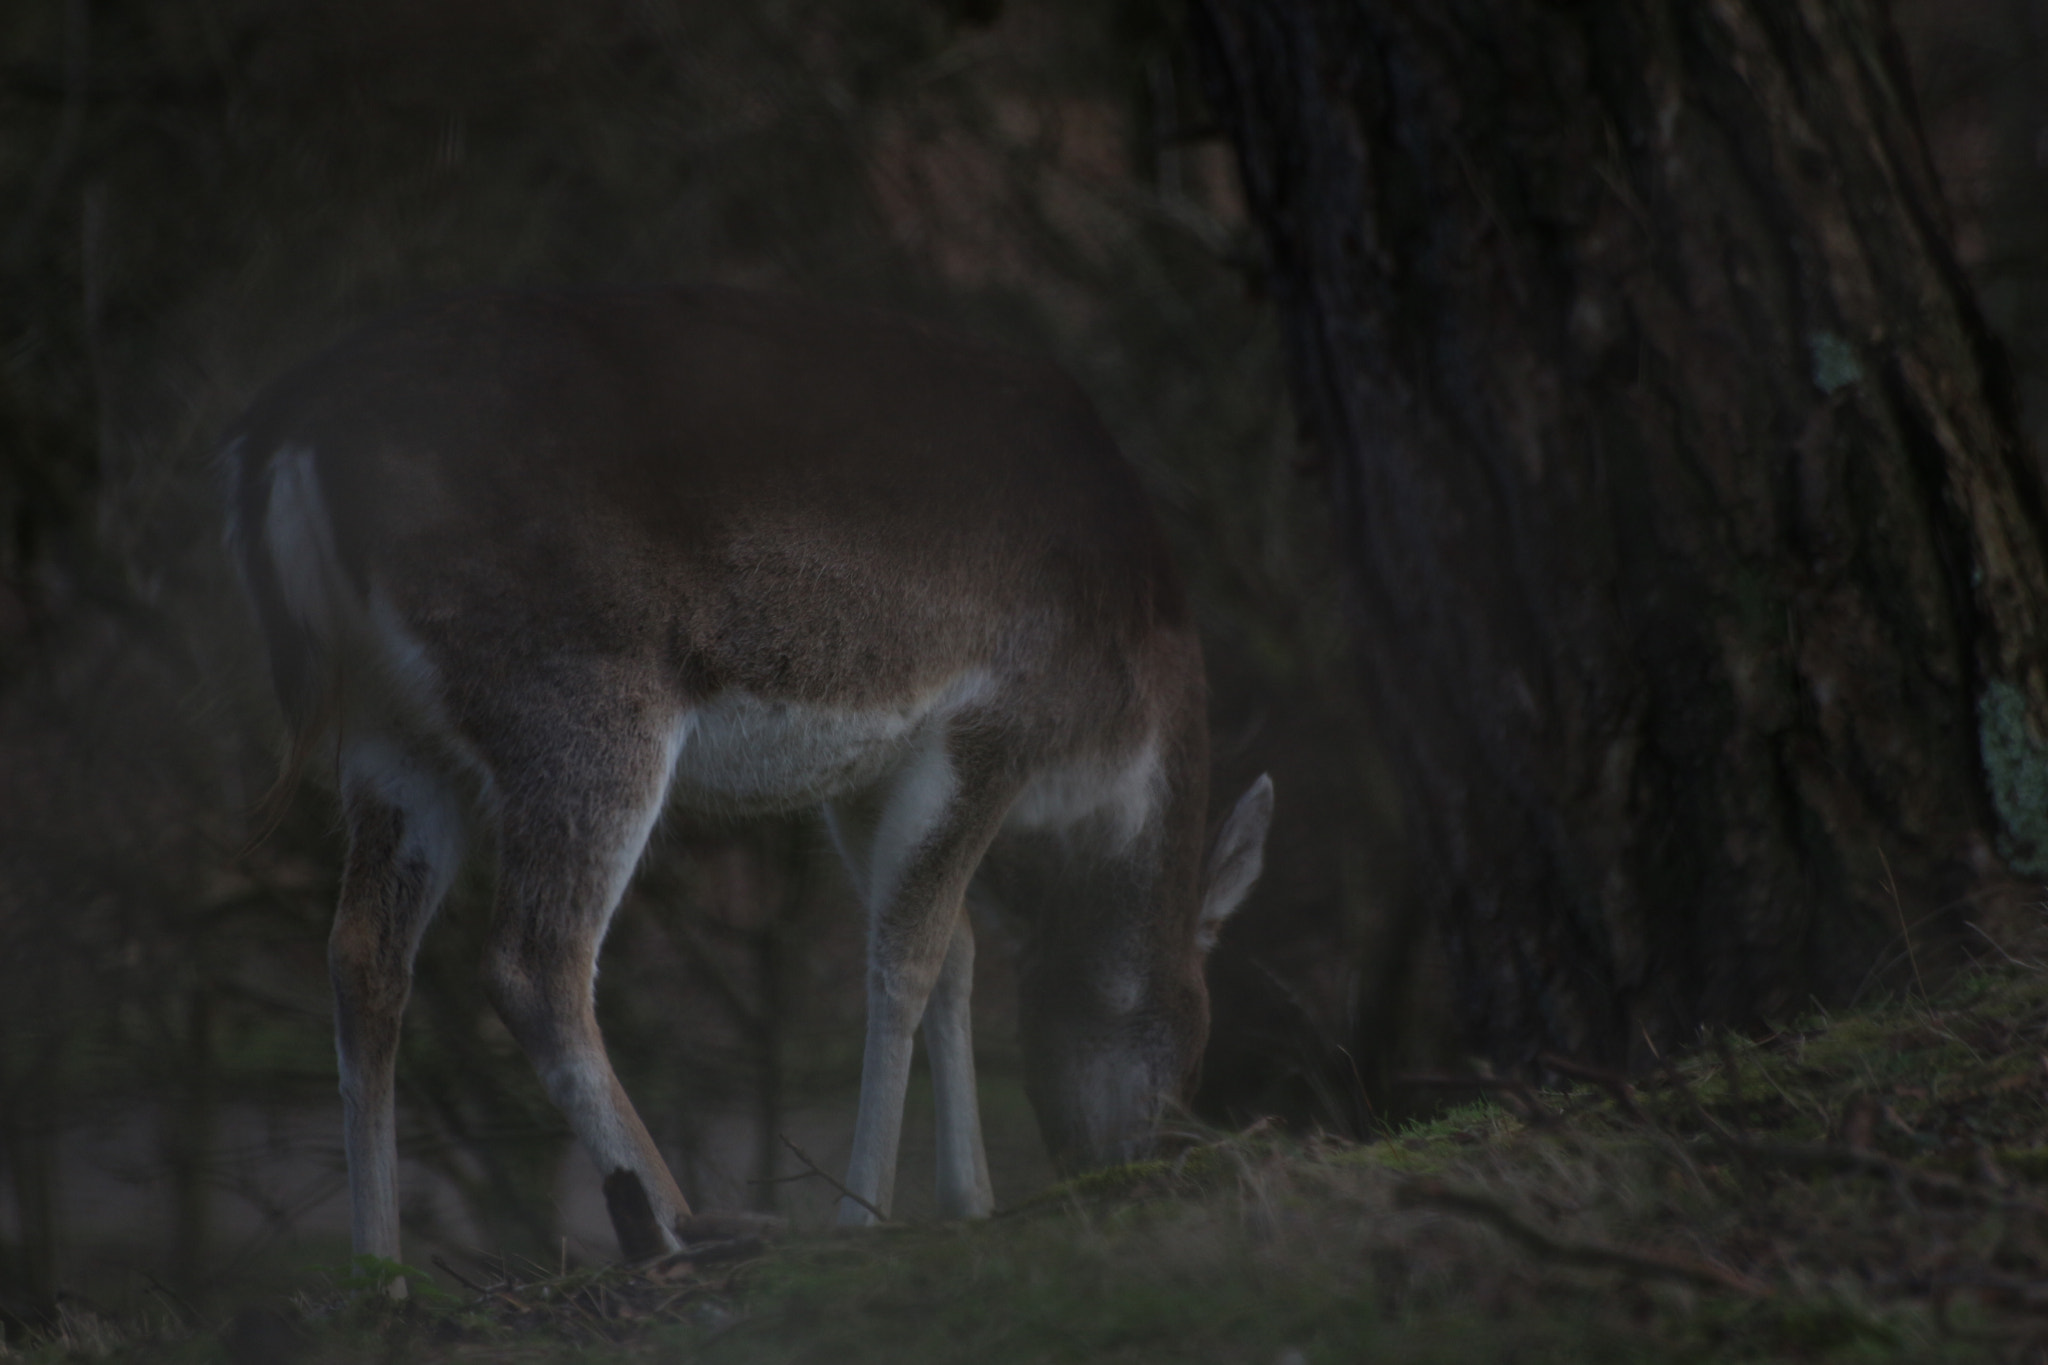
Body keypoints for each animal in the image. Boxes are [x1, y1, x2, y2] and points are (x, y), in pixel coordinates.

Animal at [223, 286, 1274, 1262]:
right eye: (1196, 1044)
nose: (1139, 1163)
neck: (1119, 732)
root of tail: (284, 437)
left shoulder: (864, 774)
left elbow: (955, 948)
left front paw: (966, 1199)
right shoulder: (1000, 719)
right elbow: (911, 953)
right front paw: (867, 1213)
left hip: (389, 729)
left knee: (363, 951)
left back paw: (383, 1269)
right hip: (580, 695)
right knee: (535, 960)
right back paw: (685, 1223)